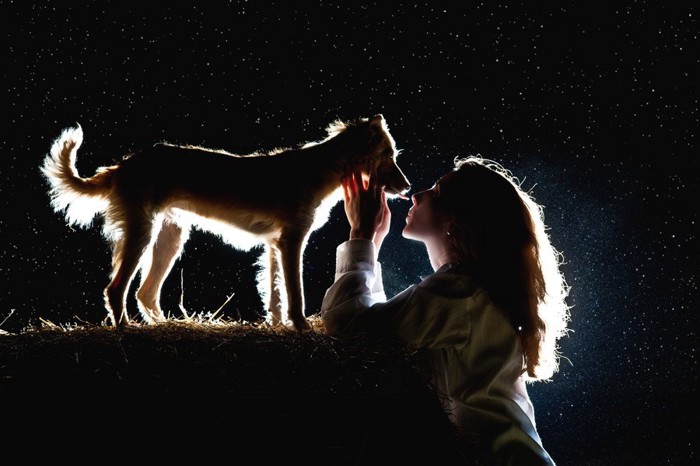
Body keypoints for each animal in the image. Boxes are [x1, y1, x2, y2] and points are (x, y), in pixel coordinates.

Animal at [42, 114, 410, 332]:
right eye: (389, 157)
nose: (407, 188)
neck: (320, 169)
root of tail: (124, 165)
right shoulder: (292, 241)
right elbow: (295, 293)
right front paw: (302, 328)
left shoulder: (275, 245)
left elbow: (275, 294)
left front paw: (277, 326)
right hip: (142, 235)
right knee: (116, 288)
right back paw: (125, 330)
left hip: (169, 238)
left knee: (145, 293)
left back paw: (167, 326)